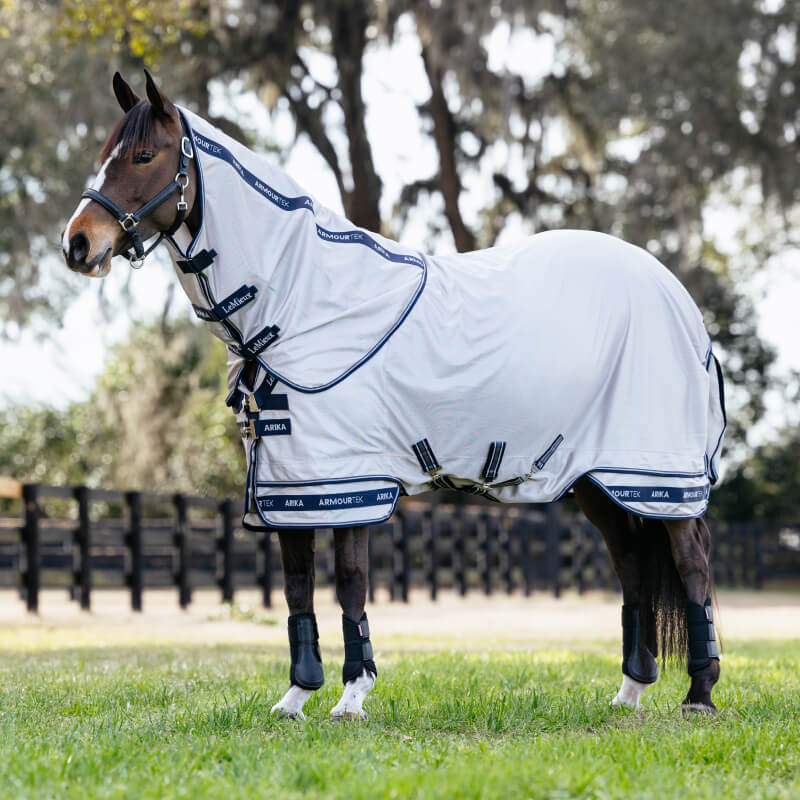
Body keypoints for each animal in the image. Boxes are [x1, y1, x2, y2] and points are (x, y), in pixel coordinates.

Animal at [62, 71, 724, 720]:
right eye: (105, 155)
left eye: (144, 155)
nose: (77, 244)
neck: (302, 302)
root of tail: (679, 300)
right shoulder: (290, 487)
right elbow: (297, 587)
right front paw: (296, 697)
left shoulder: (349, 482)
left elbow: (351, 583)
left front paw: (352, 696)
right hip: (600, 482)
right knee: (633, 568)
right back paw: (629, 693)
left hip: (659, 476)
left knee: (691, 564)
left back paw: (700, 693)